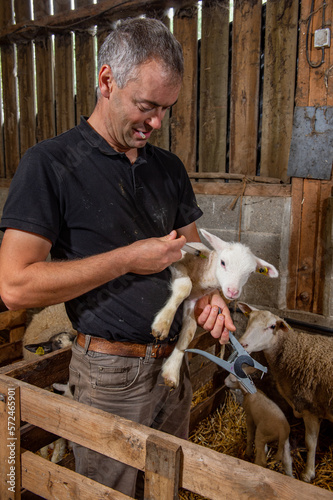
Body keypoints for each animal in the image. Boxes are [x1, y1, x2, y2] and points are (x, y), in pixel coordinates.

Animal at [152, 229, 278, 388]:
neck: (203, 275)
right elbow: (185, 286)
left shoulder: (193, 301)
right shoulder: (176, 263)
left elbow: (188, 332)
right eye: (223, 262)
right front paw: (162, 325)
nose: (232, 291)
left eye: (250, 272)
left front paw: (172, 371)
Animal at [237, 302, 332, 482]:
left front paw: (308, 474)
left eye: (272, 326)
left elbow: (310, 442)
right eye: (249, 319)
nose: (242, 344)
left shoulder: (310, 407)